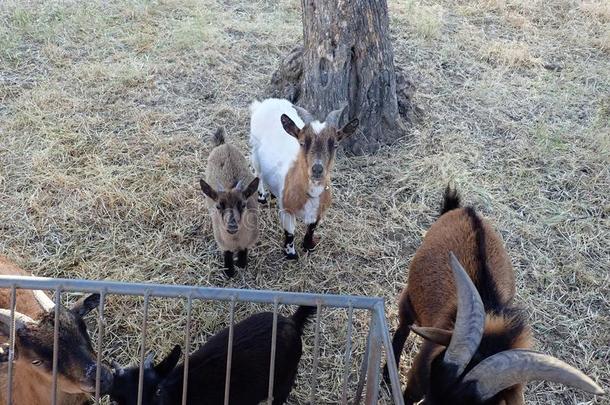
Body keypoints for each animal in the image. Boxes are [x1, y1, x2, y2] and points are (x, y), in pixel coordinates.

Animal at [198, 128, 258, 276]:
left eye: (243, 204)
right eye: (218, 206)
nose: (232, 225)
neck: (235, 241)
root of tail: (223, 145)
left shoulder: (248, 241)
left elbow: (244, 252)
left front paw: (241, 264)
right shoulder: (222, 243)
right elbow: (227, 254)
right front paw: (229, 271)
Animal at [249, 99, 358, 260]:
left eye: (335, 145)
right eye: (301, 143)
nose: (317, 169)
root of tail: (266, 102)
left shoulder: (319, 210)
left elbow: (312, 228)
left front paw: (308, 246)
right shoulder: (287, 210)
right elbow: (290, 232)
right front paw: (291, 254)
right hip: (254, 150)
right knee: (258, 173)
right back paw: (262, 197)